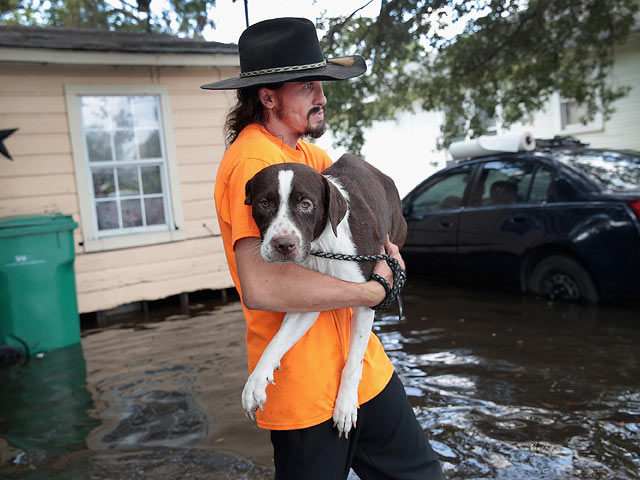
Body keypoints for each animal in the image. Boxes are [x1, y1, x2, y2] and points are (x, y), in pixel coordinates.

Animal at [242, 155, 408, 438]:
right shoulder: (310, 297)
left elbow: (353, 361)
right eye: (264, 203)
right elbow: (276, 341)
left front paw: (346, 405)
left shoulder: (367, 297)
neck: (322, 246)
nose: (283, 245)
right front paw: (256, 380)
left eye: (306, 204)